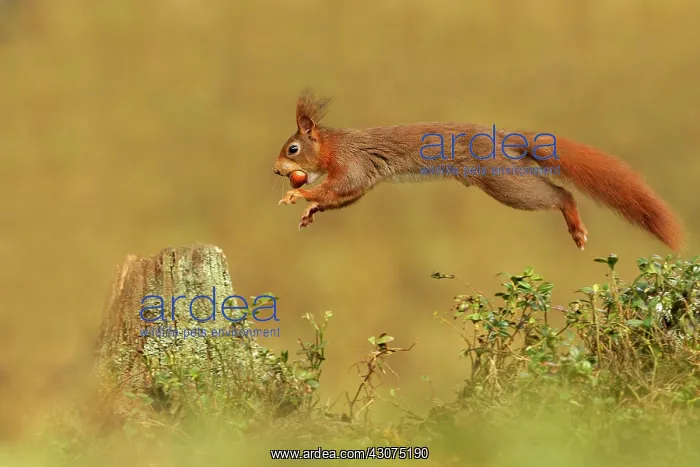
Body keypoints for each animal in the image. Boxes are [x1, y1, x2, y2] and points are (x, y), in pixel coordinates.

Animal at [273, 90, 683, 251]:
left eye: (292, 149)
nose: (277, 171)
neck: (331, 147)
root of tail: (504, 138)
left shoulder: (353, 165)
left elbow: (340, 187)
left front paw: (298, 194)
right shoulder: (360, 180)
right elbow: (342, 197)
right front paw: (310, 210)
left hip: (504, 181)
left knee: (559, 194)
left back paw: (576, 227)